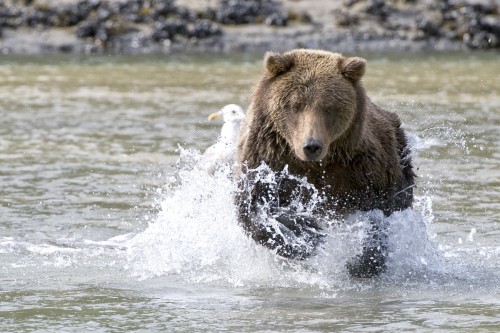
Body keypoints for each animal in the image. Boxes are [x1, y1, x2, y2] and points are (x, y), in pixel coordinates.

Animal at [236, 48, 416, 278]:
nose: (311, 146)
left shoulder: (364, 168)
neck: (315, 165)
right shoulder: (266, 160)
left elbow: (382, 210)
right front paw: (305, 235)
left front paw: (362, 262)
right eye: (295, 105)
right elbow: (253, 204)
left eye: (328, 107)